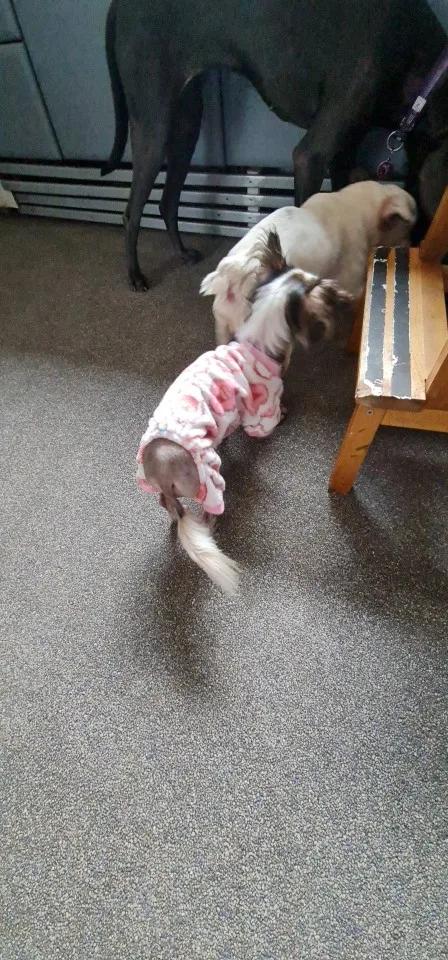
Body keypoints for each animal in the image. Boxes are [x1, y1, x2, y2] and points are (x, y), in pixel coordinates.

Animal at [103, 0, 446, 290]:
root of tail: (119, 4)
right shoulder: (310, 156)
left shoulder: (343, 155)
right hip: (153, 122)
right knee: (132, 211)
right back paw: (135, 275)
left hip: (187, 124)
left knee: (168, 201)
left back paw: (182, 253)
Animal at [136, 231, 352, 593]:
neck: (258, 340)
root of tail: (162, 466)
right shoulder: (262, 411)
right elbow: (270, 419)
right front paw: (285, 414)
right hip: (209, 480)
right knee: (206, 512)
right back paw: (210, 528)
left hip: (163, 489)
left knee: (169, 506)